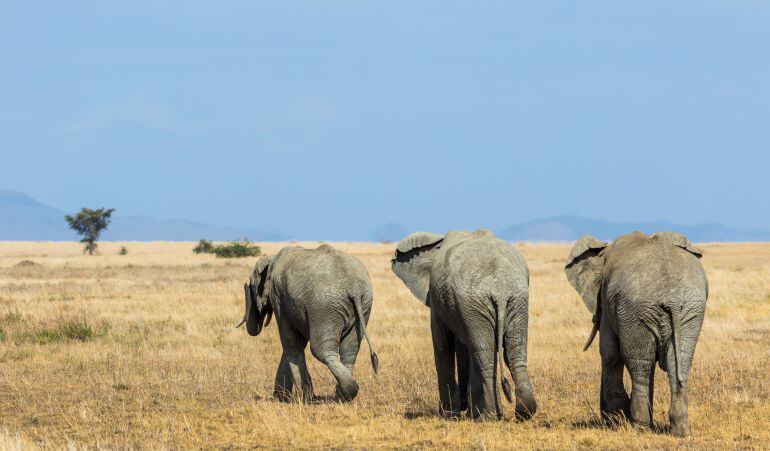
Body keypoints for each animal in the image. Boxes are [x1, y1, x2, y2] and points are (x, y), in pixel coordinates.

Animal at [234, 245, 378, 404]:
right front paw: (281, 398)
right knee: (349, 350)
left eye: (251, 286)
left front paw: (302, 400)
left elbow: (291, 343)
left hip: (325, 306)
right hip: (363, 305)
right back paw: (343, 397)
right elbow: (295, 345)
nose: (245, 285)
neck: (272, 258)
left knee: (321, 350)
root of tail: (354, 288)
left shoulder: (278, 296)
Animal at [390, 231, 536, 422]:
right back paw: (523, 412)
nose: (463, 404)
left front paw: (449, 414)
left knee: (484, 352)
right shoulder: (461, 308)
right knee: (514, 349)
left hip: (478, 301)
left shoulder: (439, 303)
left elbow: (443, 346)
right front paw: (467, 411)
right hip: (515, 300)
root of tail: (500, 291)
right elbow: (464, 347)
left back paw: (488, 417)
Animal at [564, 231, 708, 436]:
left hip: (636, 310)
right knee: (677, 362)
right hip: (690, 310)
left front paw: (615, 419)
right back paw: (681, 431)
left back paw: (640, 428)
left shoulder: (607, 301)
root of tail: (671, 297)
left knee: (640, 365)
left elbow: (609, 353)